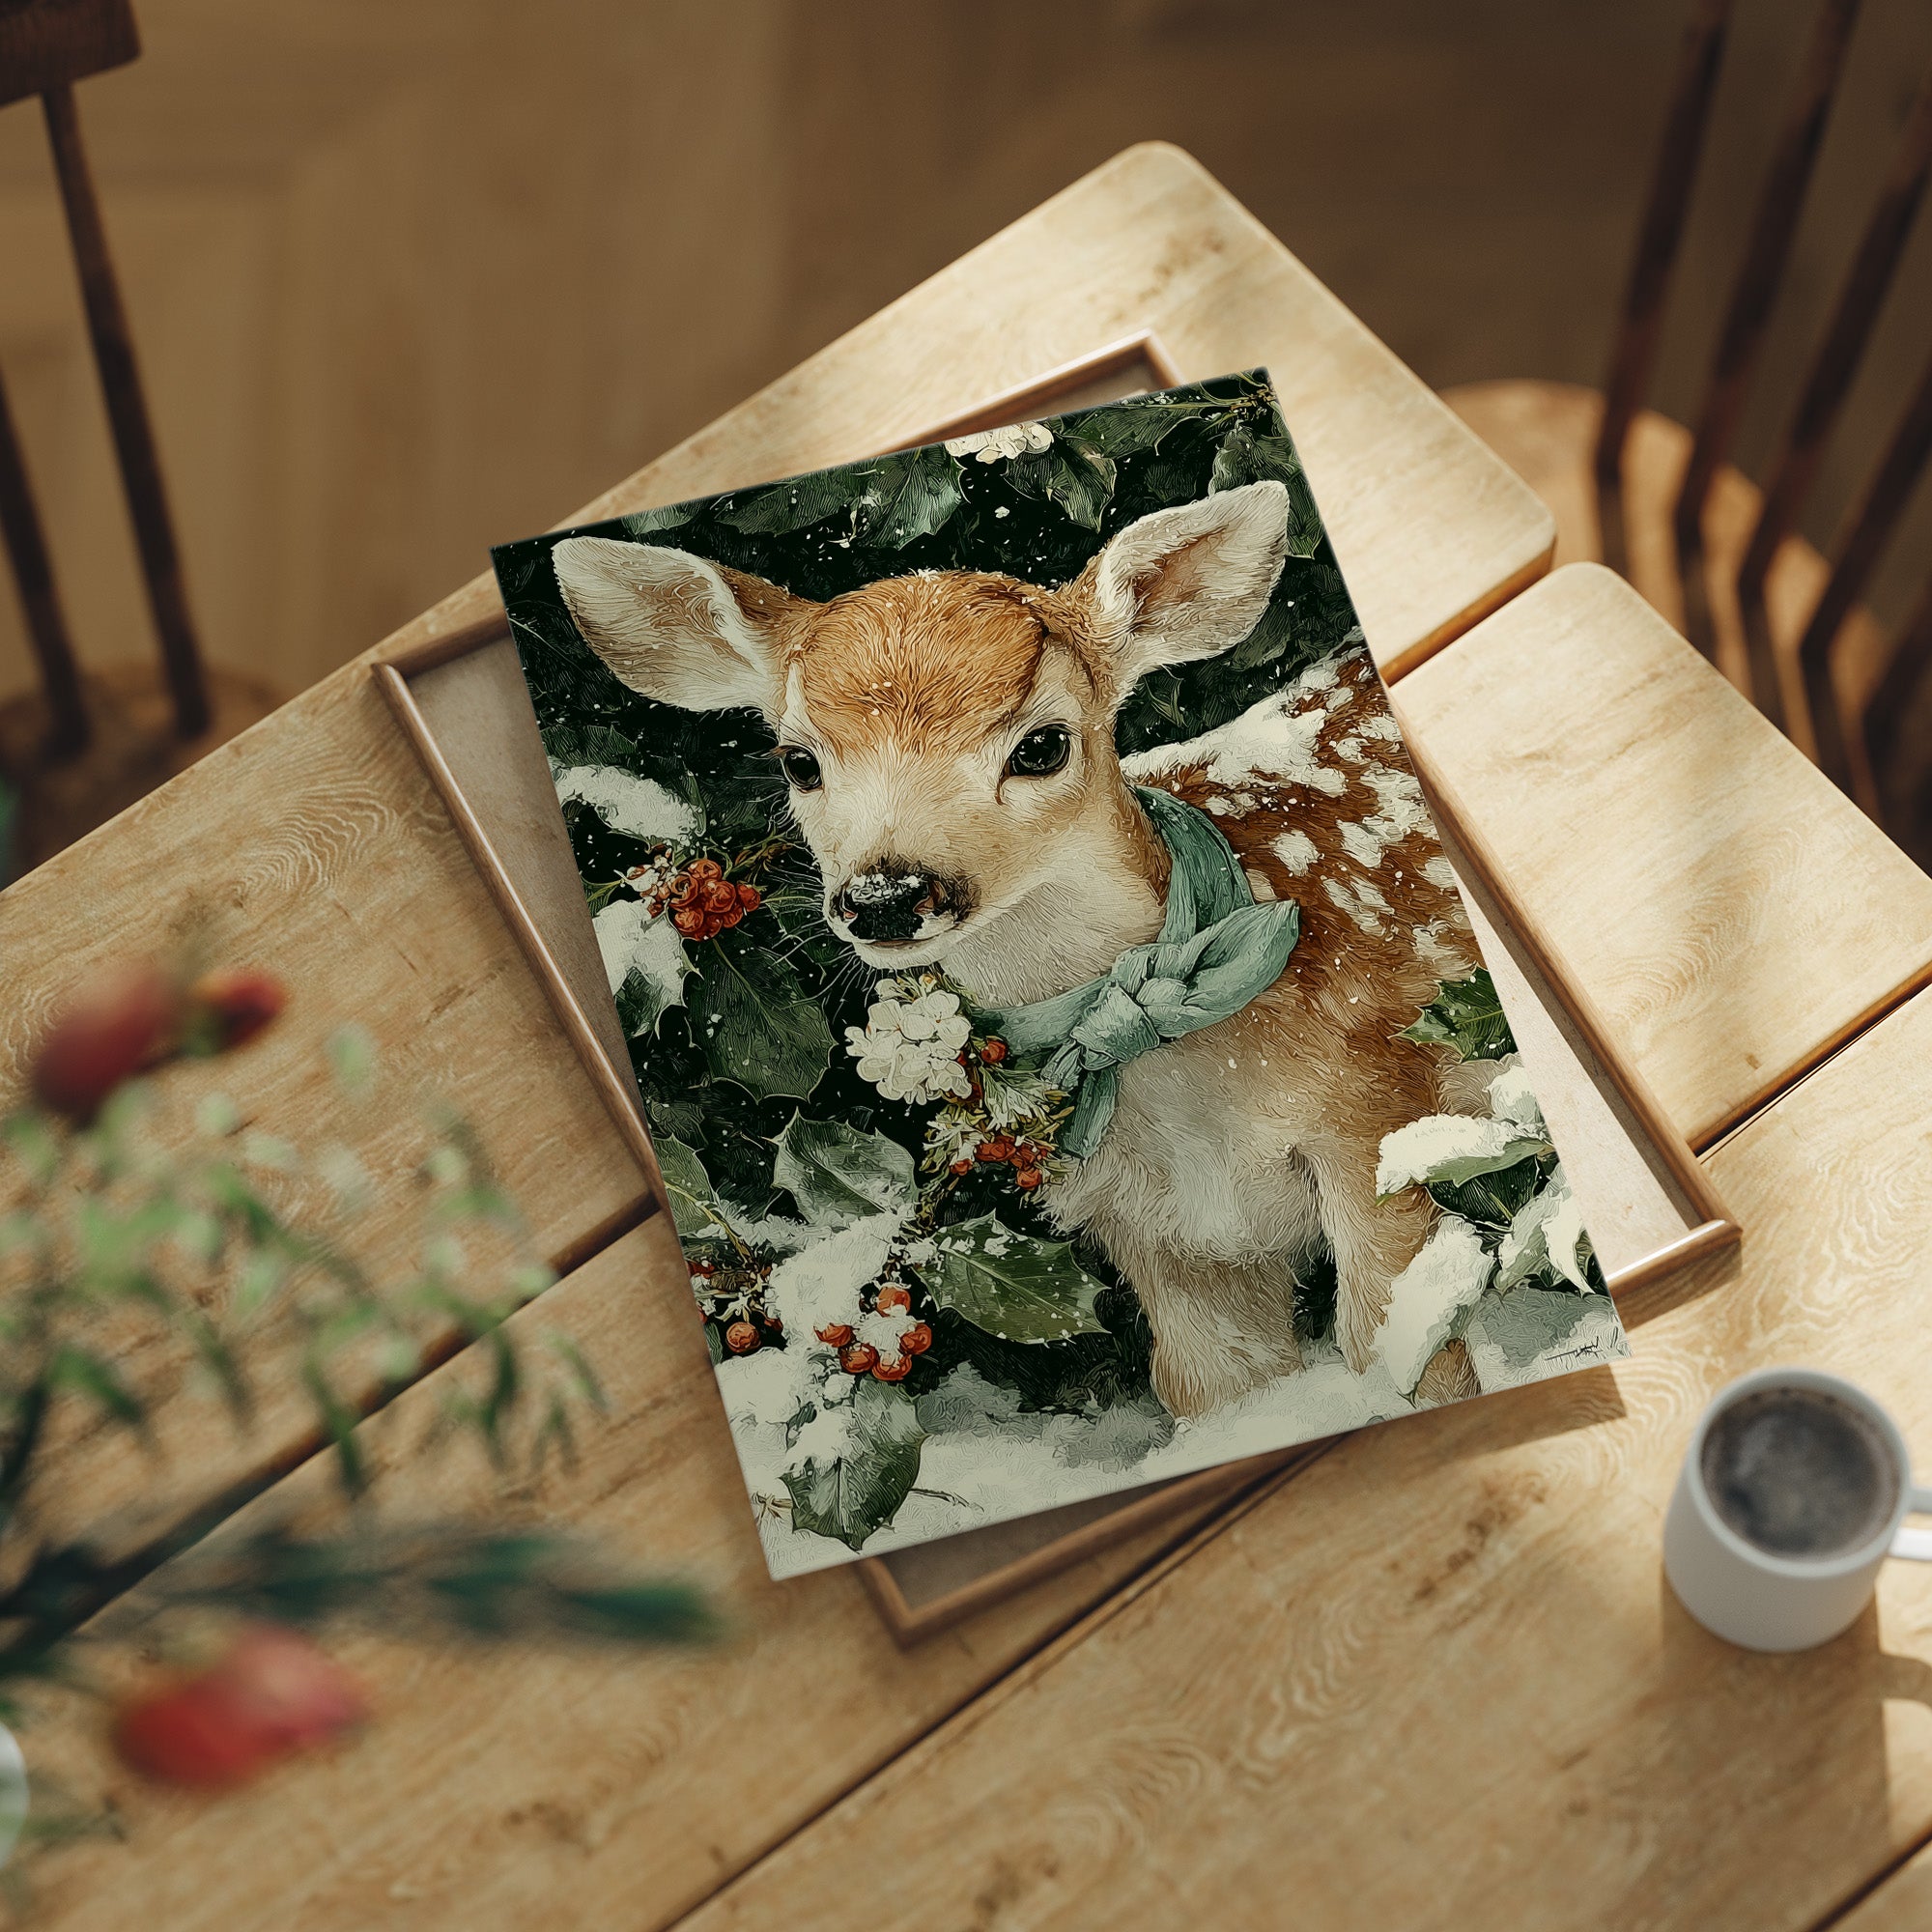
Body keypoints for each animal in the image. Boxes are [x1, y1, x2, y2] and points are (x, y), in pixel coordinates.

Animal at [551, 478, 1482, 1418]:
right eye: (797, 760)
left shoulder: (1377, 1115)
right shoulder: (1171, 1234)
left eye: (1041, 745)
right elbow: (1215, 1390)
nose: (887, 896)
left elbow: (1410, 1354)